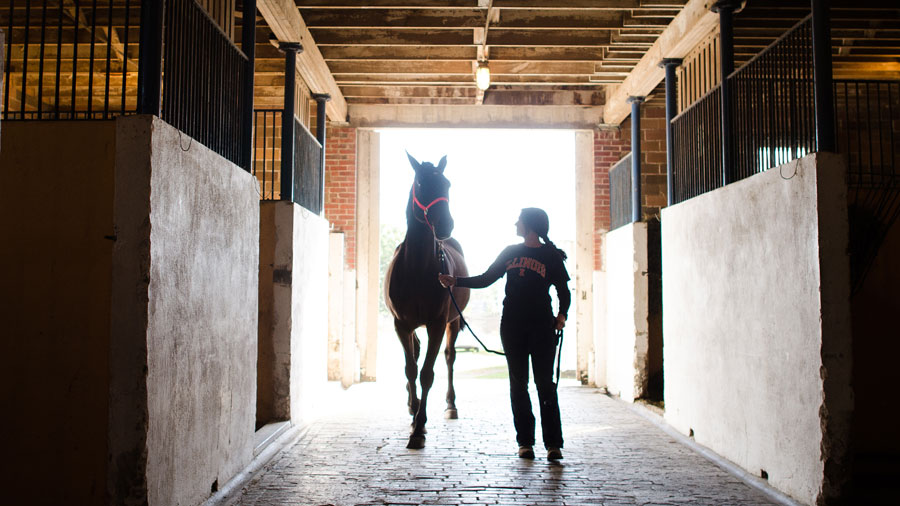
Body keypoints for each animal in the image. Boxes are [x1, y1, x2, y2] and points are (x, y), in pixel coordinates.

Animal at [384, 152, 470, 449]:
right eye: (421, 183)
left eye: (447, 184)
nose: (445, 225)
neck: (418, 268)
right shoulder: (401, 325)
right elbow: (411, 369)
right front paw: (414, 414)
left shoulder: (437, 324)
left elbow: (427, 373)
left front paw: (419, 429)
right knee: (416, 354)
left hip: (452, 324)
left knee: (450, 358)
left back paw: (451, 405)